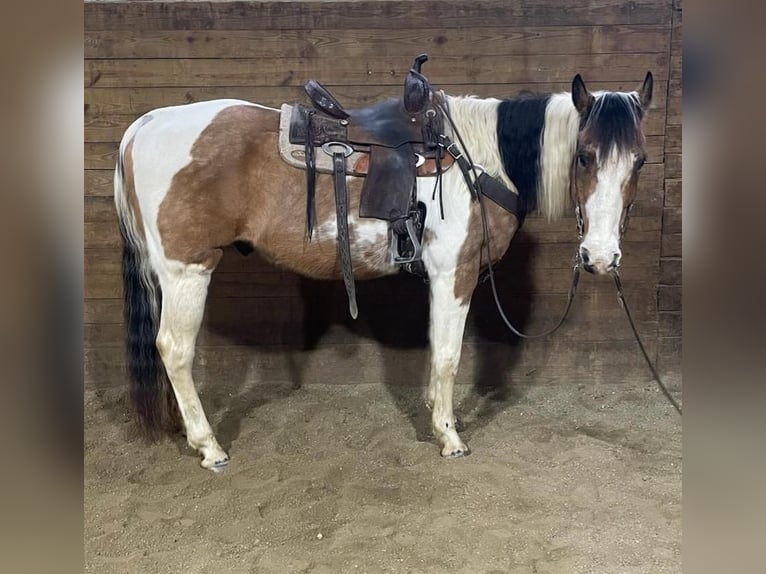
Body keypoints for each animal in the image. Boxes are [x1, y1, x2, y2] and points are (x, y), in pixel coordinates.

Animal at [114, 70, 656, 472]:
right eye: (584, 156)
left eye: (640, 161)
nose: (600, 258)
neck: (481, 160)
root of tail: (144, 125)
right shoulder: (453, 275)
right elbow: (449, 356)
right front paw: (449, 437)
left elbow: (437, 350)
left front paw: (434, 414)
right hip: (187, 271)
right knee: (174, 349)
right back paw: (209, 446)